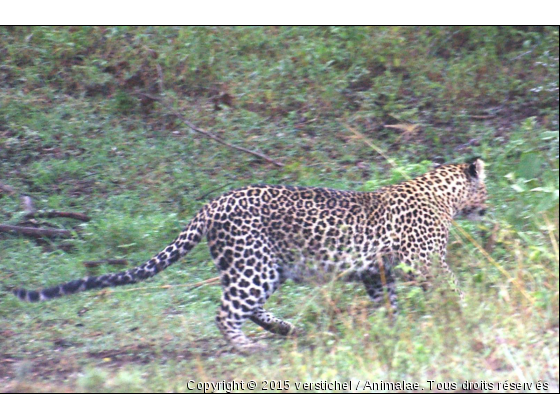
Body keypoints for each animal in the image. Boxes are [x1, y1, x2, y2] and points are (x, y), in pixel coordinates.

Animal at [12, 159, 486, 352]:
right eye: (486, 188)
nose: (489, 206)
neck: (443, 196)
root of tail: (211, 204)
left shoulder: (377, 273)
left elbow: (387, 303)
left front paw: (393, 329)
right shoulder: (427, 263)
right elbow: (453, 289)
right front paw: (469, 317)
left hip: (258, 266)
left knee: (247, 307)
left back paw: (286, 329)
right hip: (253, 264)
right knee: (226, 312)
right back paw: (247, 347)